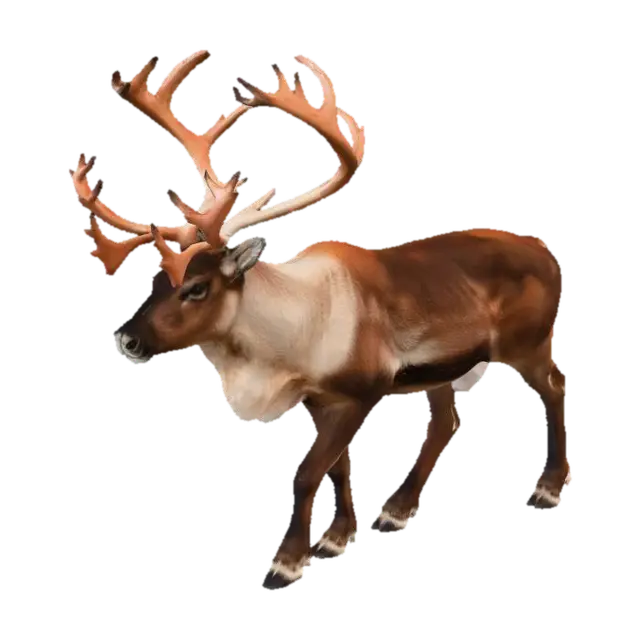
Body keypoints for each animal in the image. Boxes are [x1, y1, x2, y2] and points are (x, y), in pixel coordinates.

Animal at [68, 48, 569, 592]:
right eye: (156, 280)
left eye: (196, 287)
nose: (126, 341)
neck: (285, 339)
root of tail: (548, 254)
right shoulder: (322, 399)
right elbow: (337, 469)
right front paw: (338, 538)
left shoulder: (363, 391)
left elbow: (308, 472)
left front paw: (286, 563)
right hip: (443, 367)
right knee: (445, 420)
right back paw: (396, 512)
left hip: (529, 341)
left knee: (553, 387)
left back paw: (550, 487)